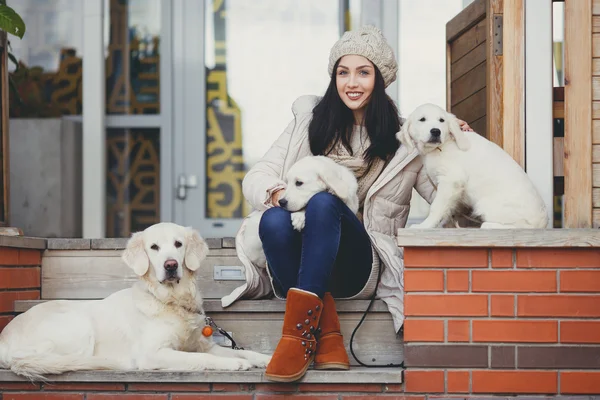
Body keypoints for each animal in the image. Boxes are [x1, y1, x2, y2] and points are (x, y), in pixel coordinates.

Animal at [0, 223, 272, 380]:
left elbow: (246, 351)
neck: (170, 300)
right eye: (154, 247)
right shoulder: (154, 353)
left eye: (178, 244)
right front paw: (234, 363)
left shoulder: (202, 345)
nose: (170, 265)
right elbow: (203, 359)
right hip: (79, 326)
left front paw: (265, 359)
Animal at [398, 103, 548, 228]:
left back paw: (488, 225)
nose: (436, 131)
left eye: (442, 120)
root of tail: (543, 221)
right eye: (422, 119)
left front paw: (424, 226)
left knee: (522, 226)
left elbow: (437, 207)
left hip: (487, 205)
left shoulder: (451, 180)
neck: (440, 147)